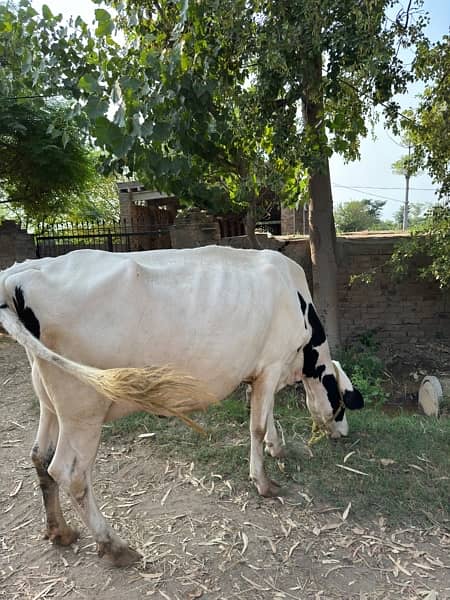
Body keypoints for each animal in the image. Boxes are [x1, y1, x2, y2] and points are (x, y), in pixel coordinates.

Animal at [0, 246, 364, 564]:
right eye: (342, 404)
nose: (343, 432)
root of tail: (19, 274)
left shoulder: (263, 372)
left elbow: (267, 415)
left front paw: (277, 448)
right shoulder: (272, 363)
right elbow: (257, 426)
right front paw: (264, 482)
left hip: (50, 397)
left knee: (39, 456)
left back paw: (59, 531)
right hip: (82, 407)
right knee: (69, 472)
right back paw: (115, 546)